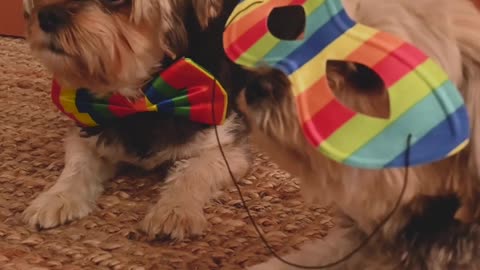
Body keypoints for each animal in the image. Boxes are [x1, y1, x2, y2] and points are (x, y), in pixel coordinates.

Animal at [20, 0, 251, 240]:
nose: (47, 16)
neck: (139, 103)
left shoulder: (224, 147)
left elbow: (192, 173)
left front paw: (174, 210)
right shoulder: (87, 133)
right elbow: (76, 167)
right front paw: (55, 198)